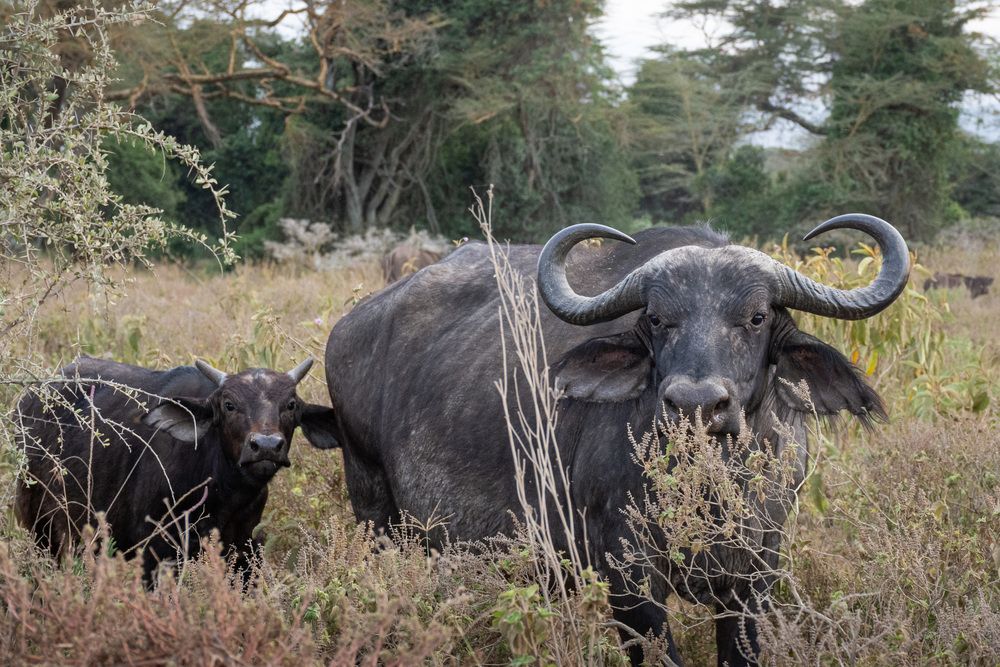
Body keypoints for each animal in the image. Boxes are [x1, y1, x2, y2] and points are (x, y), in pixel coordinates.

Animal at [15, 356, 338, 582]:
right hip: (40, 525)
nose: (267, 445)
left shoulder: (243, 549)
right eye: (229, 405)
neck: (222, 493)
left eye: (291, 404)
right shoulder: (154, 551)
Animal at [324, 214, 909, 665]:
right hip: (375, 512)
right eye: (657, 318)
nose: (696, 403)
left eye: (757, 317)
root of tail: (350, 327)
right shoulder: (629, 580)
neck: (710, 488)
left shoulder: (756, 576)